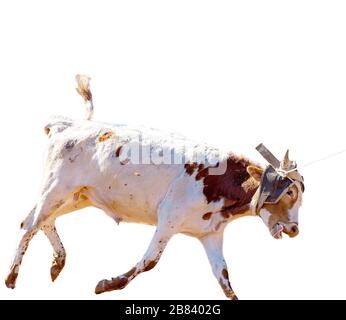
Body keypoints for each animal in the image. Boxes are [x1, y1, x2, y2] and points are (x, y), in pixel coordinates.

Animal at [4, 75, 302, 300]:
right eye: (289, 192)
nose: (294, 229)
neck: (218, 180)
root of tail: (67, 124)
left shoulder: (210, 234)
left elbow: (225, 281)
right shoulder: (168, 218)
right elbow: (149, 262)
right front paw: (106, 284)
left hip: (77, 196)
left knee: (41, 221)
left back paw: (58, 263)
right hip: (56, 188)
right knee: (29, 225)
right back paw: (11, 277)